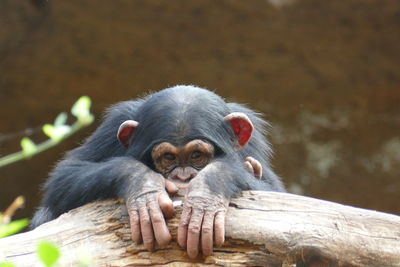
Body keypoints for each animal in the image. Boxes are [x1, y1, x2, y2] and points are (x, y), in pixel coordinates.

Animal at [32, 86, 286, 260]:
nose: (183, 177)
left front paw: (208, 189)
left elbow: (276, 195)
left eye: (197, 155)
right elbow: (65, 177)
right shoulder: (111, 127)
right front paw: (145, 189)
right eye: (168, 158)